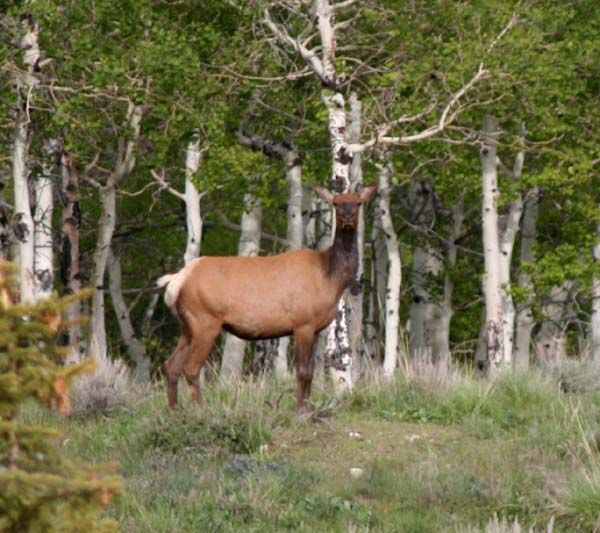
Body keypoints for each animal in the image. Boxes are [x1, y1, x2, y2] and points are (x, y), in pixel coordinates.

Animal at [157, 183, 378, 412]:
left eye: (358, 202)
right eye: (336, 202)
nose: (347, 216)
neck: (331, 278)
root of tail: (176, 282)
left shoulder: (317, 327)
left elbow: (310, 370)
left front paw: (307, 408)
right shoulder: (303, 322)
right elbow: (303, 370)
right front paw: (300, 411)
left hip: (186, 326)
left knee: (171, 366)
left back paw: (174, 411)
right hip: (205, 321)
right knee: (191, 368)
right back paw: (201, 411)